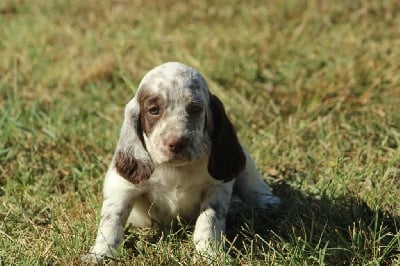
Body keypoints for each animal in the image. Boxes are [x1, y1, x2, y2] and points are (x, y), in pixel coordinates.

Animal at [83, 61, 280, 262]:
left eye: (195, 108)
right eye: (154, 110)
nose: (176, 143)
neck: (175, 169)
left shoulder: (216, 187)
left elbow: (209, 221)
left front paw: (208, 254)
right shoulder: (121, 186)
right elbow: (111, 221)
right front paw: (100, 254)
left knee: (253, 182)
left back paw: (266, 203)